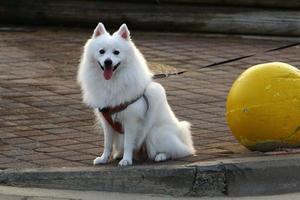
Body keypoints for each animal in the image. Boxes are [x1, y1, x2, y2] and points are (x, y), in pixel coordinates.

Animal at [77, 23, 195, 166]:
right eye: (102, 51)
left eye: (116, 52)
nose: (108, 62)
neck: (112, 82)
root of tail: (179, 133)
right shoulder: (107, 122)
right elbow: (107, 144)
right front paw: (103, 158)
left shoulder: (131, 121)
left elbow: (128, 143)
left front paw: (126, 160)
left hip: (154, 133)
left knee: (176, 151)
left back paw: (161, 156)